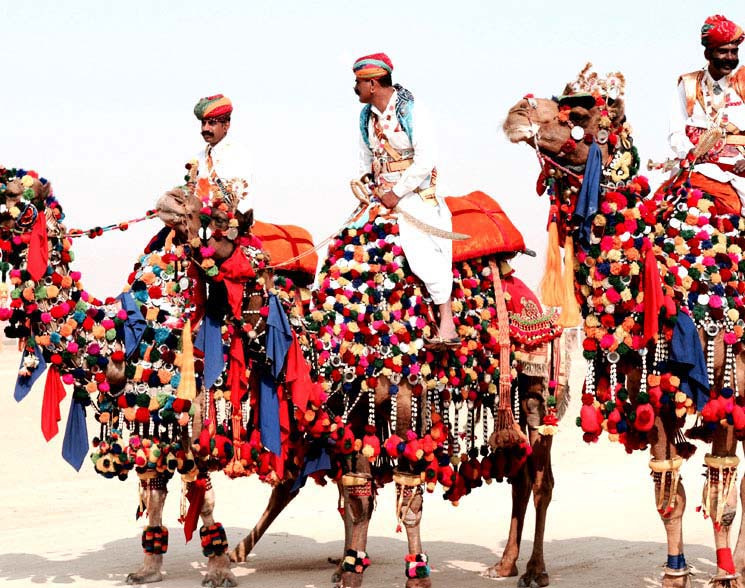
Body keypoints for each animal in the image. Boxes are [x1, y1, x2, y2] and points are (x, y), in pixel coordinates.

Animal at [2, 164, 328, 588]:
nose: (172, 199)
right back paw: (245, 551)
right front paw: (148, 569)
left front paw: (218, 570)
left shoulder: (195, 429)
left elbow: (202, 497)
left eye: (219, 217)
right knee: (291, 483)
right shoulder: (148, 424)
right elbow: (154, 493)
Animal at [502, 64, 745, 588]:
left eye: (578, 114)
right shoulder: (656, 395)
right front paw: (676, 573)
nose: (517, 112)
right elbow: (668, 488)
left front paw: (725, 575)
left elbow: (723, 489)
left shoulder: (724, 389)